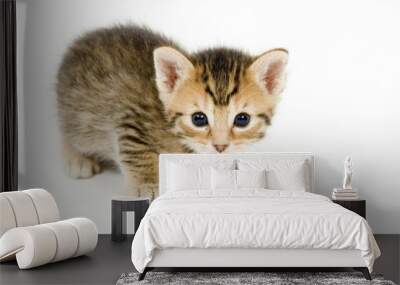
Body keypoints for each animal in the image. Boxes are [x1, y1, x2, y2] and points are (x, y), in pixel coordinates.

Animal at [56, 25, 288, 197]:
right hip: (77, 114)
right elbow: (137, 152)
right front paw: (148, 185)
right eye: (198, 119)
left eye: (242, 120)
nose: (220, 147)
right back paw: (77, 159)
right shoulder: (131, 117)